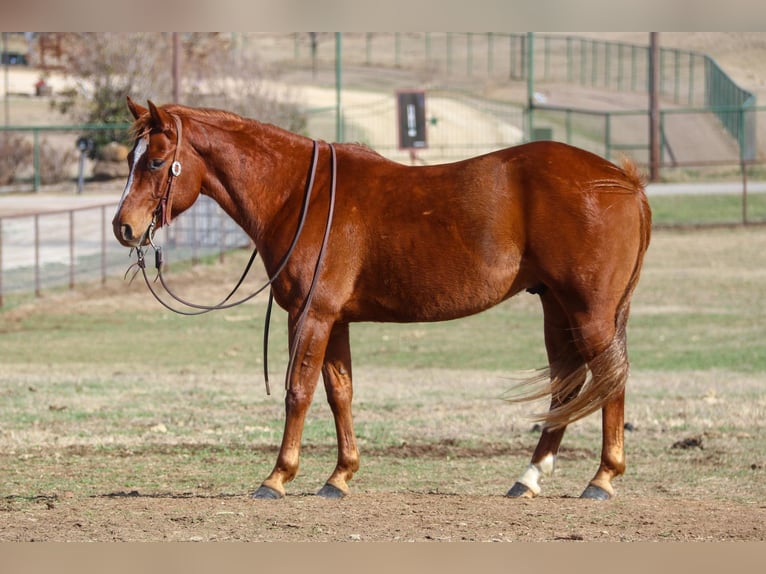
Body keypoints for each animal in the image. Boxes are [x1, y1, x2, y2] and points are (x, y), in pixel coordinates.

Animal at [114, 99, 652, 504]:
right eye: (130, 160)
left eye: (155, 161)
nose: (124, 227)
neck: (299, 194)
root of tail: (625, 180)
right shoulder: (336, 320)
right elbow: (340, 392)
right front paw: (339, 476)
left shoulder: (310, 316)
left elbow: (298, 391)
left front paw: (277, 476)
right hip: (556, 308)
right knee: (568, 385)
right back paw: (529, 477)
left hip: (590, 312)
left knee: (609, 381)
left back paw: (602, 478)